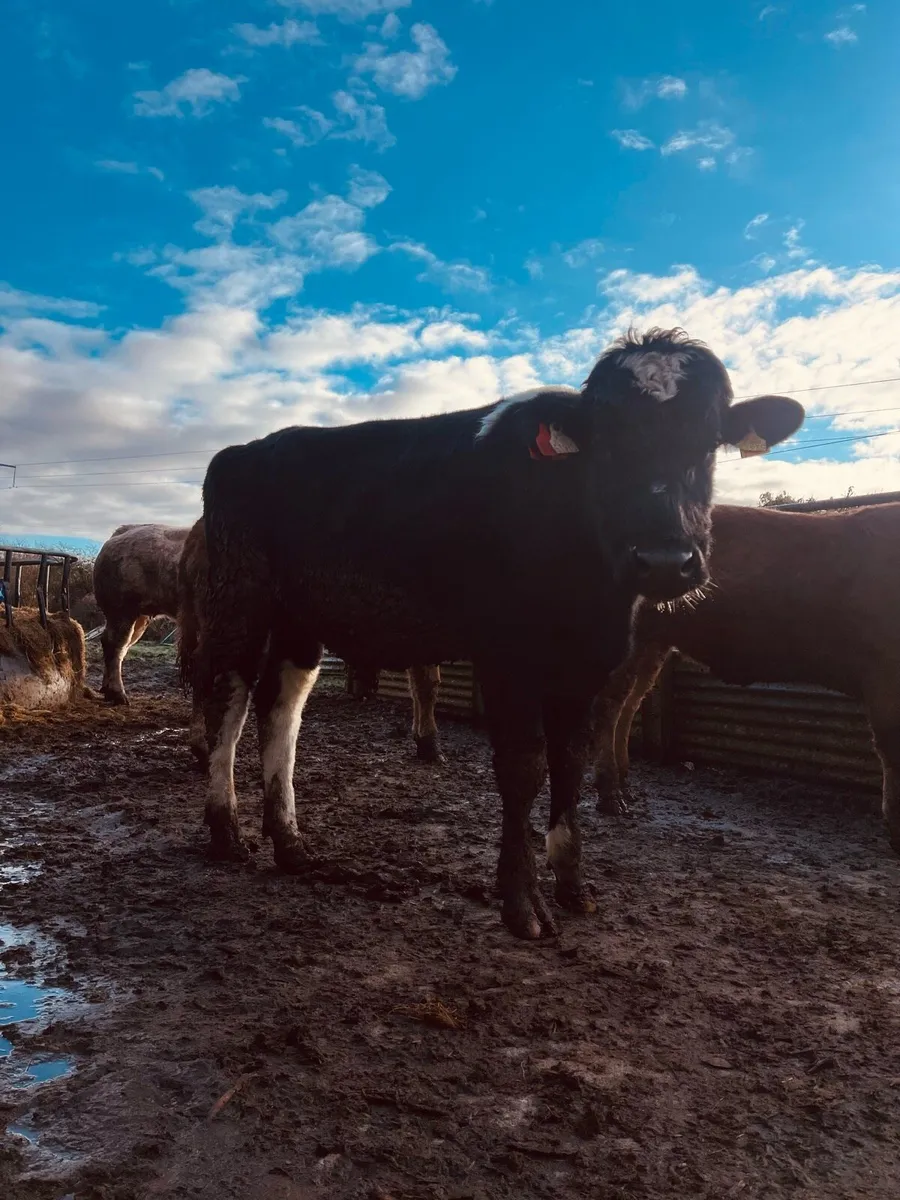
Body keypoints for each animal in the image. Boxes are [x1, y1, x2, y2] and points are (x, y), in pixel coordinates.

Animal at [93, 523, 190, 704]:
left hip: (139, 618)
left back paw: (107, 689)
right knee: (114, 644)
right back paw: (117, 694)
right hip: (122, 612)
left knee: (120, 646)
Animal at [592, 501, 900, 853]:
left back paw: (627, 789)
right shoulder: (884, 671)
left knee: (631, 702)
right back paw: (612, 800)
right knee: (610, 705)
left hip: (655, 643)